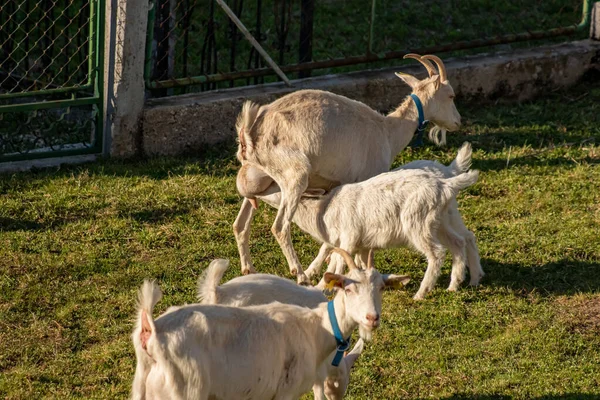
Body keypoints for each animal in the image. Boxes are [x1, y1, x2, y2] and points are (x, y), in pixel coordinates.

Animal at [233, 54, 460, 284]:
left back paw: (248, 269)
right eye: (451, 95)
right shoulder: (366, 178)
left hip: (259, 179)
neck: (387, 131)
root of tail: (250, 133)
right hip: (294, 175)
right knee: (279, 227)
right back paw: (300, 274)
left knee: (240, 224)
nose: (457, 122)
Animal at [238, 159, 478, 300]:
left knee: (437, 253)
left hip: (418, 223)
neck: (323, 211)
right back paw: (455, 285)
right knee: (460, 241)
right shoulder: (360, 243)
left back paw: (421, 292)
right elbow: (357, 263)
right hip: (441, 220)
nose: (252, 193)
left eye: (274, 186)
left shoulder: (349, 236)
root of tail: (446, 185)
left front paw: (319, 286)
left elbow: (337, 261)